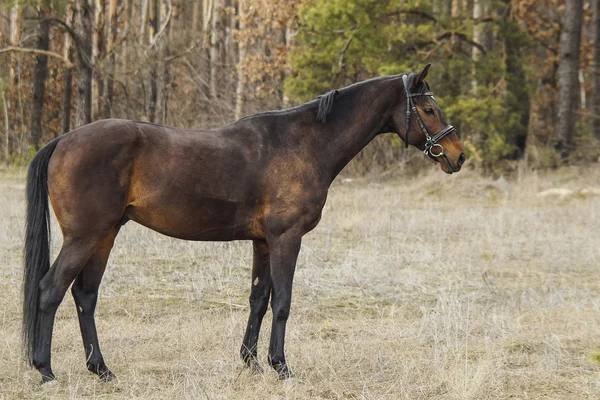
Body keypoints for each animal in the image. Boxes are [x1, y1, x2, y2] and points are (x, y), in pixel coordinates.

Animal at [22, 65, 464, 382]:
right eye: (428, 109)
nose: (457, 154)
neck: (303, 143)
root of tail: (63, 141)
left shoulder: (263, 241)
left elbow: (258, 299)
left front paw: (250, 362)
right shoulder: (286, 238)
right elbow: (282, 302)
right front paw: (281, 366)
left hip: (105, 236)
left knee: (85, 296)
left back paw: (101, 369)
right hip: (85, 237)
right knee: (50, 290)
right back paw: (45, 370)